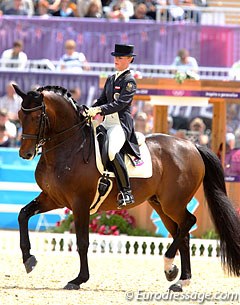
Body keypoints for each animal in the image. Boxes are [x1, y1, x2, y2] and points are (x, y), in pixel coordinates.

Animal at [13, 84, 240, 290]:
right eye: (20, 115)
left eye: (36, 117)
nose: (25, 154)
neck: (68, 147)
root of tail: (192, 146)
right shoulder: (53, 198)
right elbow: (23, 214)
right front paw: (28, 259)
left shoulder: (80, 203)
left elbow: (82, 241)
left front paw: (78, 279)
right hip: (161, 206)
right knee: (182, 234)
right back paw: (180, 280)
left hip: (173, 203)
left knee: (188, 222)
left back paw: (169, 266)